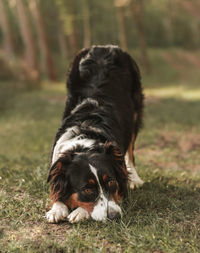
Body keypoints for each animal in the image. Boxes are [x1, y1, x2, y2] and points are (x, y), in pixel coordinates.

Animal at [46, 45, 144, 223]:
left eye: (111, 181)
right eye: (87, 189)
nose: (114, 216)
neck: (84, 141)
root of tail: (105, 46)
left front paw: (79, 212)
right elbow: (57, 190)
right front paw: (57, 209)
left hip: (135, 112)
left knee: (131, 151)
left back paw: (135, 178)